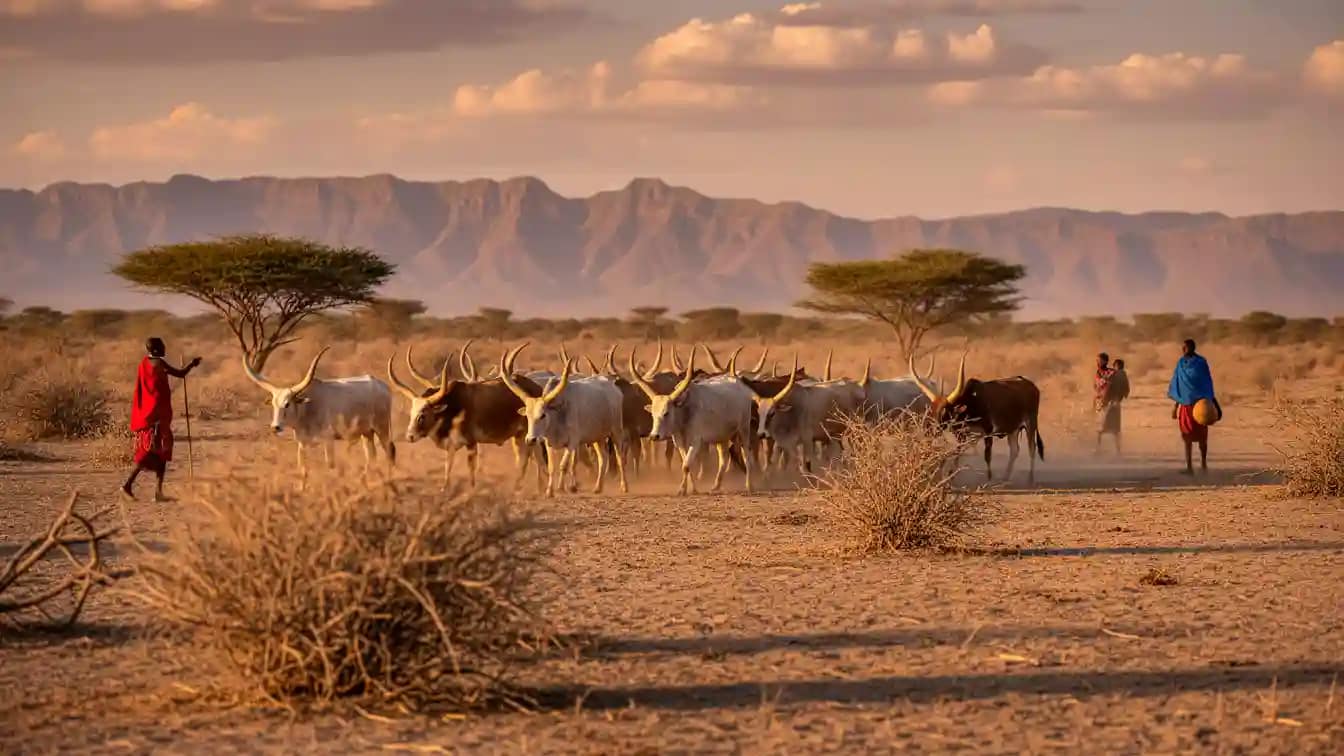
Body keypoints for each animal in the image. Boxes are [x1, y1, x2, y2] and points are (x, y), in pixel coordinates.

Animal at [242, 347, 395, 486]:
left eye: (287, 404)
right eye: (274, 404)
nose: (275, 427)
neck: (307, 408)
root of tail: (383, 386)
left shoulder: (328, 440)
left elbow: (330, 465)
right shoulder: (302, 443)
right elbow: (303, 470)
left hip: (382, 429)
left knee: (389, 452)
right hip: (367, 433)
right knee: (371, 456)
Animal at [387, 349, 545, 491]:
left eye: (422, 415)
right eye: (412, 413)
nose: (410, 436)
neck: (453, 406)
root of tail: (536, 388)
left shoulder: (471, 443)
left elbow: (471, 468)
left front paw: (471, 488)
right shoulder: (451, 445)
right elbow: (448, 466)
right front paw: (444, 488)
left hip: (528, 435)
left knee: (533, 458)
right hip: (521, 437)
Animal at [500, 344, 628, 497]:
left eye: (543, 415)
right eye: (528, 415)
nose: (530, 439)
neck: (557, 414)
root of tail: (612, 386)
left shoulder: (572, 442)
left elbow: (564, 465)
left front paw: (562, 488)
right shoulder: (548, 443)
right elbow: (552, 467)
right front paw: (549, 490)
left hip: (616, 431)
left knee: (620, 458)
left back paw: (624, 487)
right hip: (598, 437)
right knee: (603, 458)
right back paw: (598, 487)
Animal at [629, 345, 755, 495]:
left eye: (666, 413)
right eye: (653, 414)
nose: (654, 436)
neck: (684, 411)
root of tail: (739, 383)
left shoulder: (696, 442)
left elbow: (686, 465)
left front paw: (682, 489)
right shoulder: (679, 442)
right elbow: (687, 465)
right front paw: (691, 488)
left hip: (744, 429)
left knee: (747, 455)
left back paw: (749, 485)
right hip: (721, 436)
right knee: (723, 458)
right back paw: (716, 485)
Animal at [909, 353, 1045, 484]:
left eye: (945, 411)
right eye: (931, 410)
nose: (932, 429)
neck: (971, 403)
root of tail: (1031, 385)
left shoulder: (988, 431)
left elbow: (987, 455)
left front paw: (989, 478)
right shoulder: (961, 435)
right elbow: (958, 453)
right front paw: (951, 476)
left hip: (1030, 423)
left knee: (1032, 448)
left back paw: (1030, 478)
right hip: (1013, 429)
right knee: (1014, 450)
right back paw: (1005, 477)